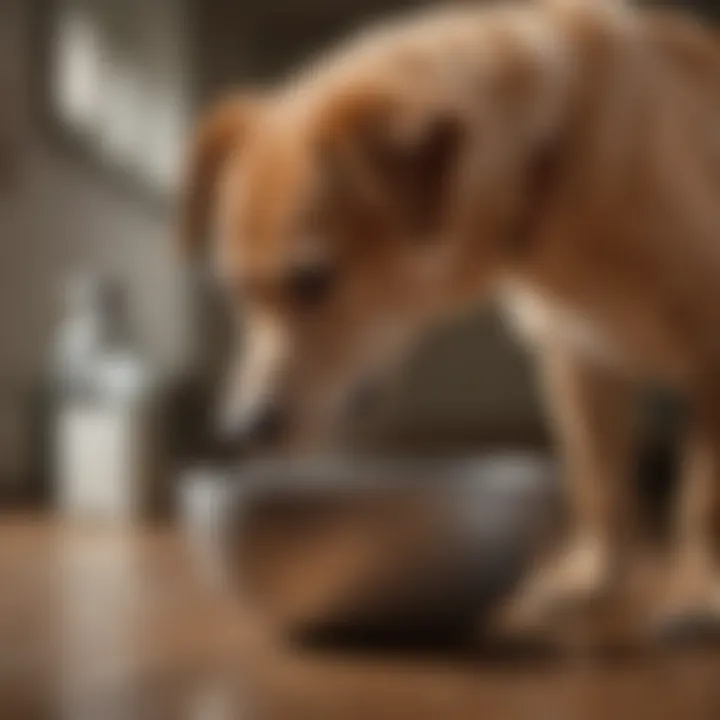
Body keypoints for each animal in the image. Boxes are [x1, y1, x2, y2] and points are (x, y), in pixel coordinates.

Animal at [180, 0, 720, 632]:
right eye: (235, 292)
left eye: (313, 280)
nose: (241, 428)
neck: (552, 153)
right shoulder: (578, 358)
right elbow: (599, 483)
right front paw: (589, 578)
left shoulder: (706, 351)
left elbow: (702, 496)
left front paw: (702, 596)